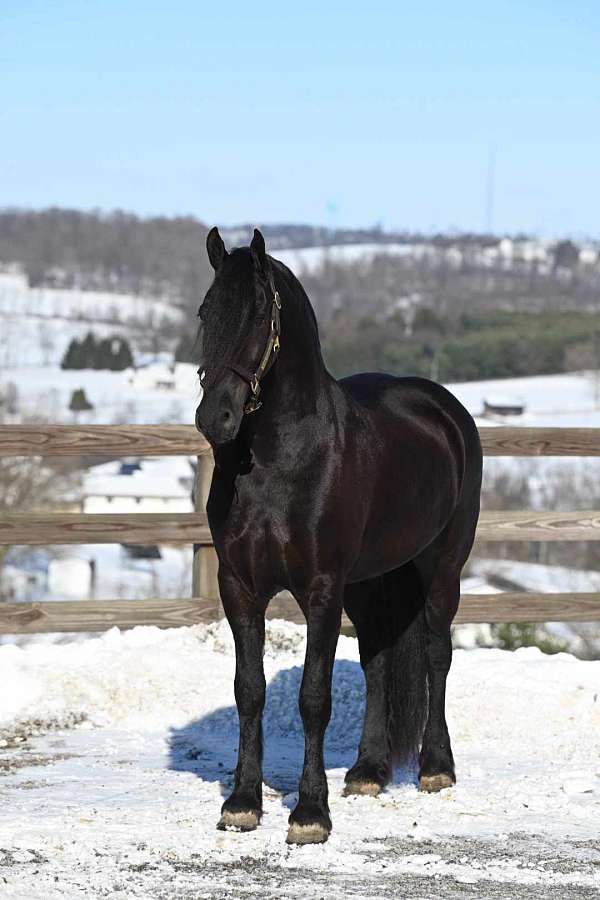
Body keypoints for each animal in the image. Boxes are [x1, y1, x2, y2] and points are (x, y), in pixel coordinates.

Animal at [197, 229, 482, 848]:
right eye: (206, 312)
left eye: (259, 315)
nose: (215, 418)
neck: (278, 460)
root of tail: (445, 410)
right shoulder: (240, 588)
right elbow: (249, 689)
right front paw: (242, 803)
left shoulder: (321, 589)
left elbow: (314, 697)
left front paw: (309, 814)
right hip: (371, 581)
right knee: (377, 659)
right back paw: (368, 771)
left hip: (442, 567)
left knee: (436, 653)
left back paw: (435, 767)